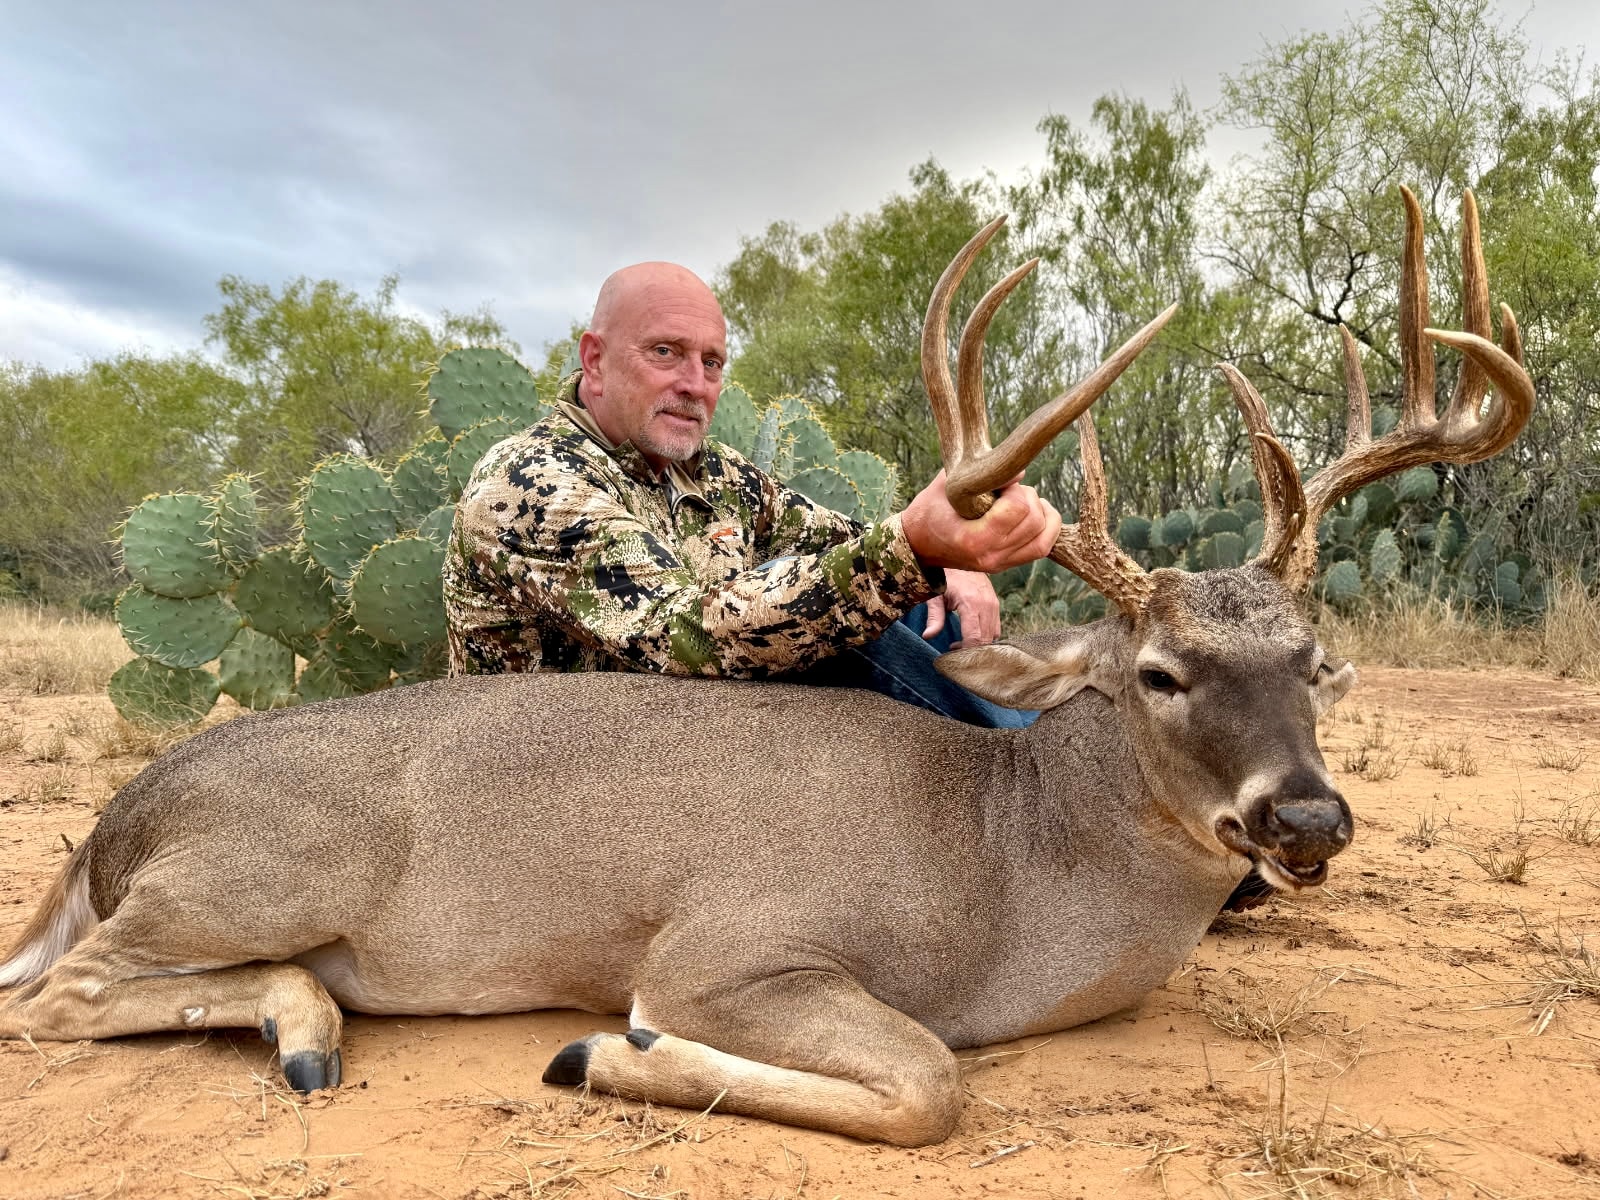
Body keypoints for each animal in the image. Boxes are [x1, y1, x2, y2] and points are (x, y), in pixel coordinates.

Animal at [0, 187, 1531, 1147]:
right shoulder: (726, 943)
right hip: (271, 863)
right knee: (55, 995)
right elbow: (930, 1082)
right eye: (1158, 672)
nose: (1306, 816)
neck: (1002, 871)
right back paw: (308, 1027)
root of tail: (116, 819)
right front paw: (605, 1054)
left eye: (1314, 660)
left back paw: (308, 1022)